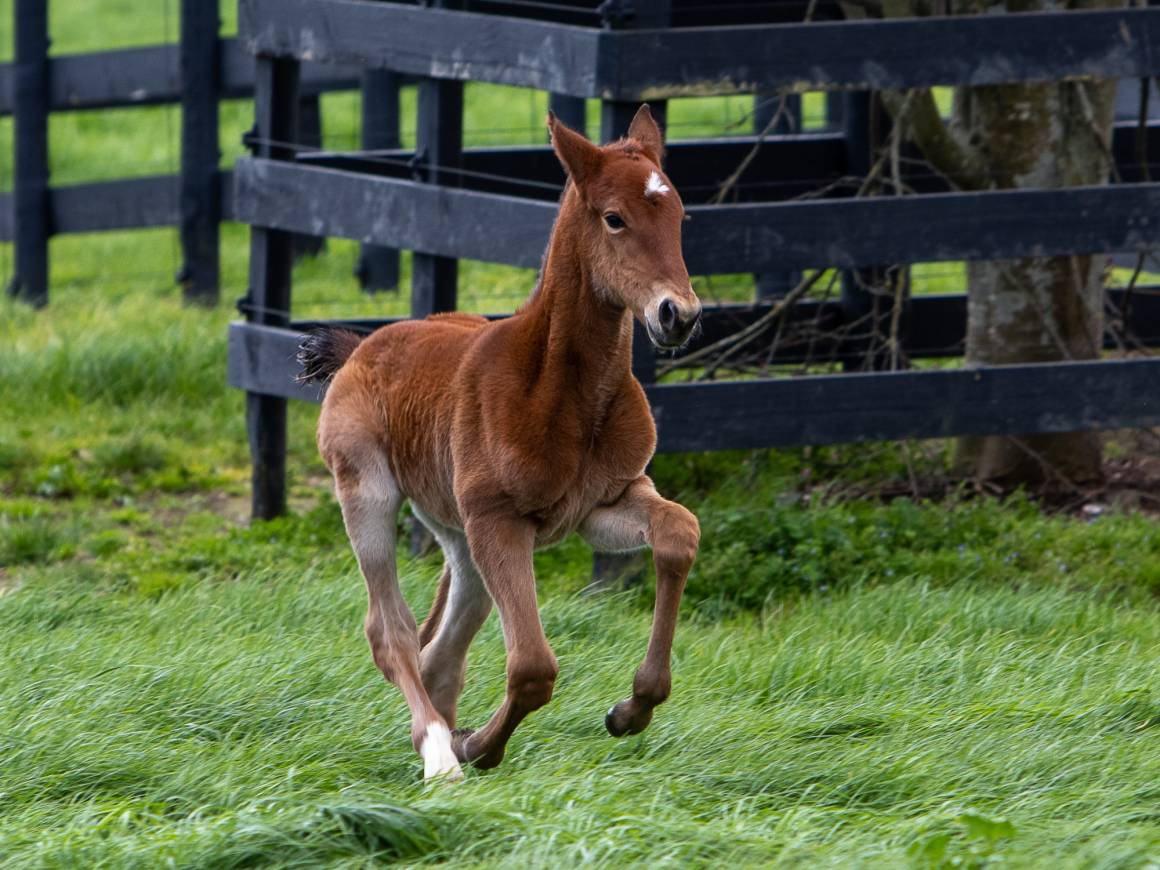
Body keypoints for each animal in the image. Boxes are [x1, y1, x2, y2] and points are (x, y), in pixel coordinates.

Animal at [301, 105, 696, 779]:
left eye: (679, 216)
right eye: (614, 218)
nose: (679, 314)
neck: (567, 396)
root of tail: (362, 346)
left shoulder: (604, 503)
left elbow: (678, 533)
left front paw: (630, 709)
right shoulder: (500, 519)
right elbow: (534, 667)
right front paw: (479, 747)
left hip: (458, 532)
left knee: (441, 646)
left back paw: (445, 733)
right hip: (369, 492)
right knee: (392, 632)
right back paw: (440, 752)